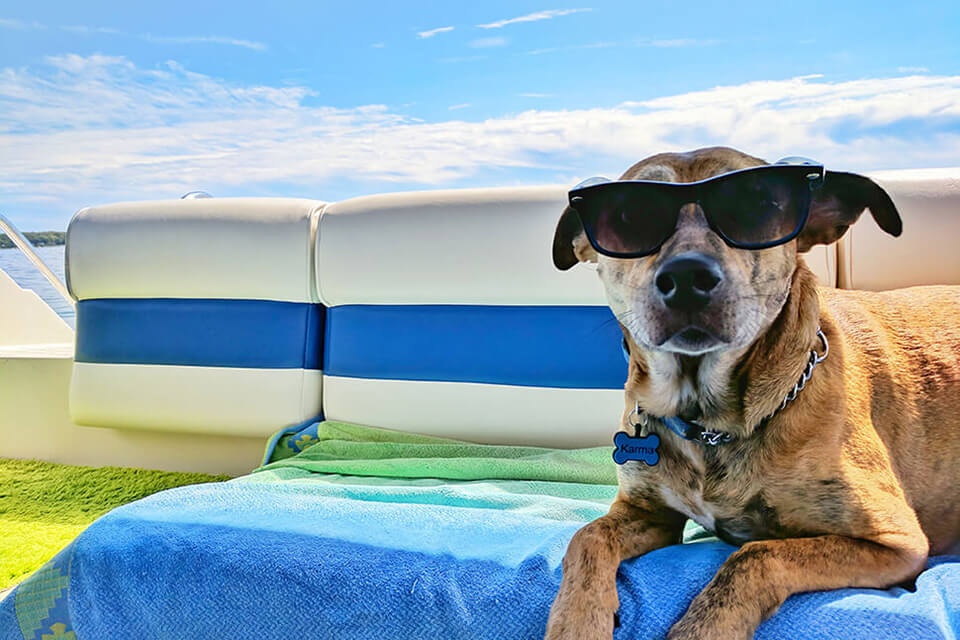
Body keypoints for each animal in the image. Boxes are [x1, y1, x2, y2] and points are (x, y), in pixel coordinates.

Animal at [548, 146, 960, 640]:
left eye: (758, 204)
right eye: (629, 215)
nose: (686, 276)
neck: (708, 421)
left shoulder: (896, 540)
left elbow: (755, 556)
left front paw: (702, 629)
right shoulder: (648, 515)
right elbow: (586, 537)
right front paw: (575, 623)